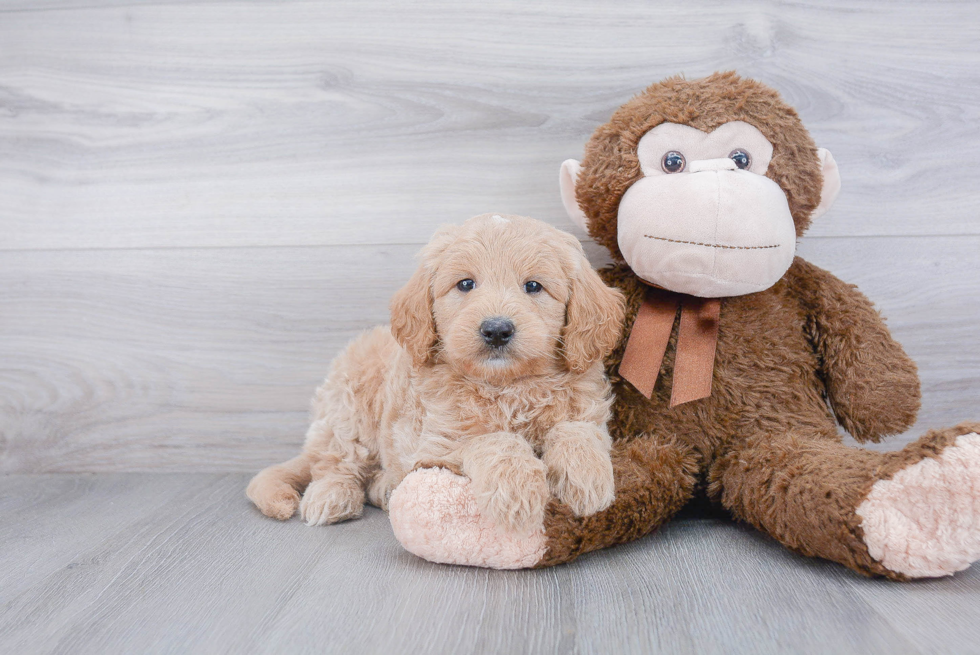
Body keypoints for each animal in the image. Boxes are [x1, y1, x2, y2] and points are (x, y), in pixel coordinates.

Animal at [249, 213, 624, 536]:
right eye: (466, 284)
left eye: (533, 286)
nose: (497, 329)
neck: (508, 386)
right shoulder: (437, 443)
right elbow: (493, 440)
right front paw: (517, 489)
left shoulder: (589, 411)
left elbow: (577, 430)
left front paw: (586, 475)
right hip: (348, 408)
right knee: (335, 460)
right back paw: (332, 495)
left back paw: (383, 487)